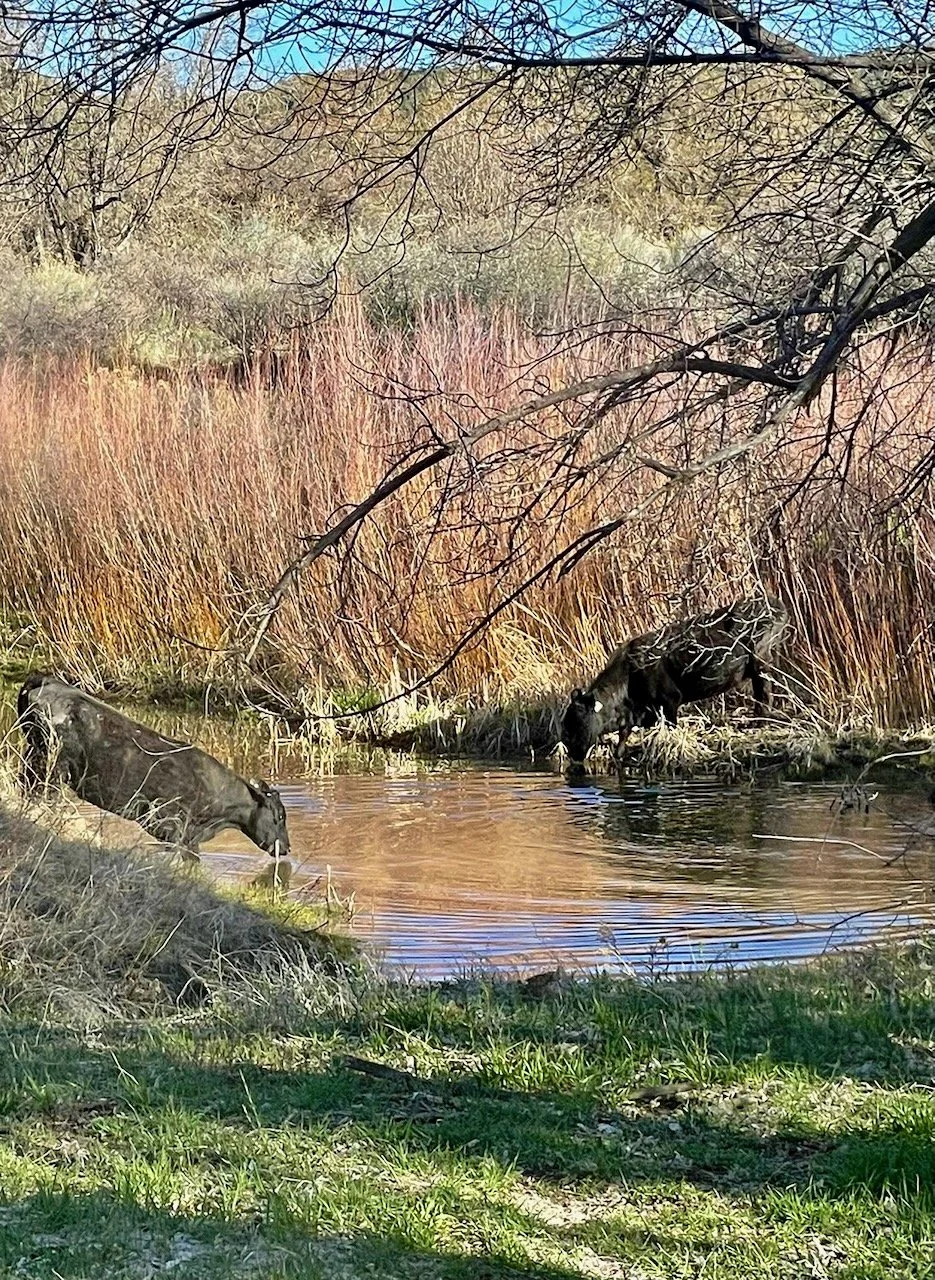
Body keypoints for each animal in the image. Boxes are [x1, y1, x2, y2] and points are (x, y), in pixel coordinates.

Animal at [561, 596, 788, 763]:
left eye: (577, 722)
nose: (572, 753)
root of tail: (774, 602)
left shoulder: (670, 700)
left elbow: (670, 727)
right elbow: (622, 741)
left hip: (761, 660)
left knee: (764, 692)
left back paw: (758, 721)